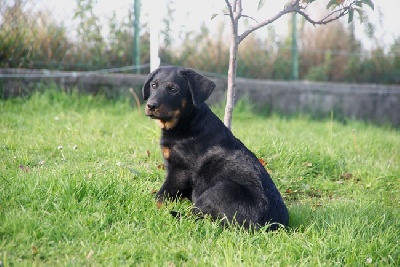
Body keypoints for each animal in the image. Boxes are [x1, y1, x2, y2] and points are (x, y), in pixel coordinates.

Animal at [142, 66, 290, 230]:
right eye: (153, 85)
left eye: (173, 90)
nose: (151, 105)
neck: (186, 121)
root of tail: (262, 227)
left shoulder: (180, 171)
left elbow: (162, 195)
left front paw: (152, 210)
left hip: (221, 190)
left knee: (195, 214)